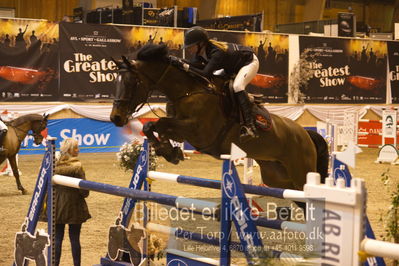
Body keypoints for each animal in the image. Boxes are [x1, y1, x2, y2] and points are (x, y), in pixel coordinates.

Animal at [110, 44, 328, 193]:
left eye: (131, 82)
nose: (116, 118)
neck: (188, 91)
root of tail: (305, 134)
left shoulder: (198, 131)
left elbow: (161, 123)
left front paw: (168, 151)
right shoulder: (182, 131)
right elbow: (151, 127)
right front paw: (169, 151)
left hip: (300, 174)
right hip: (278, 177)